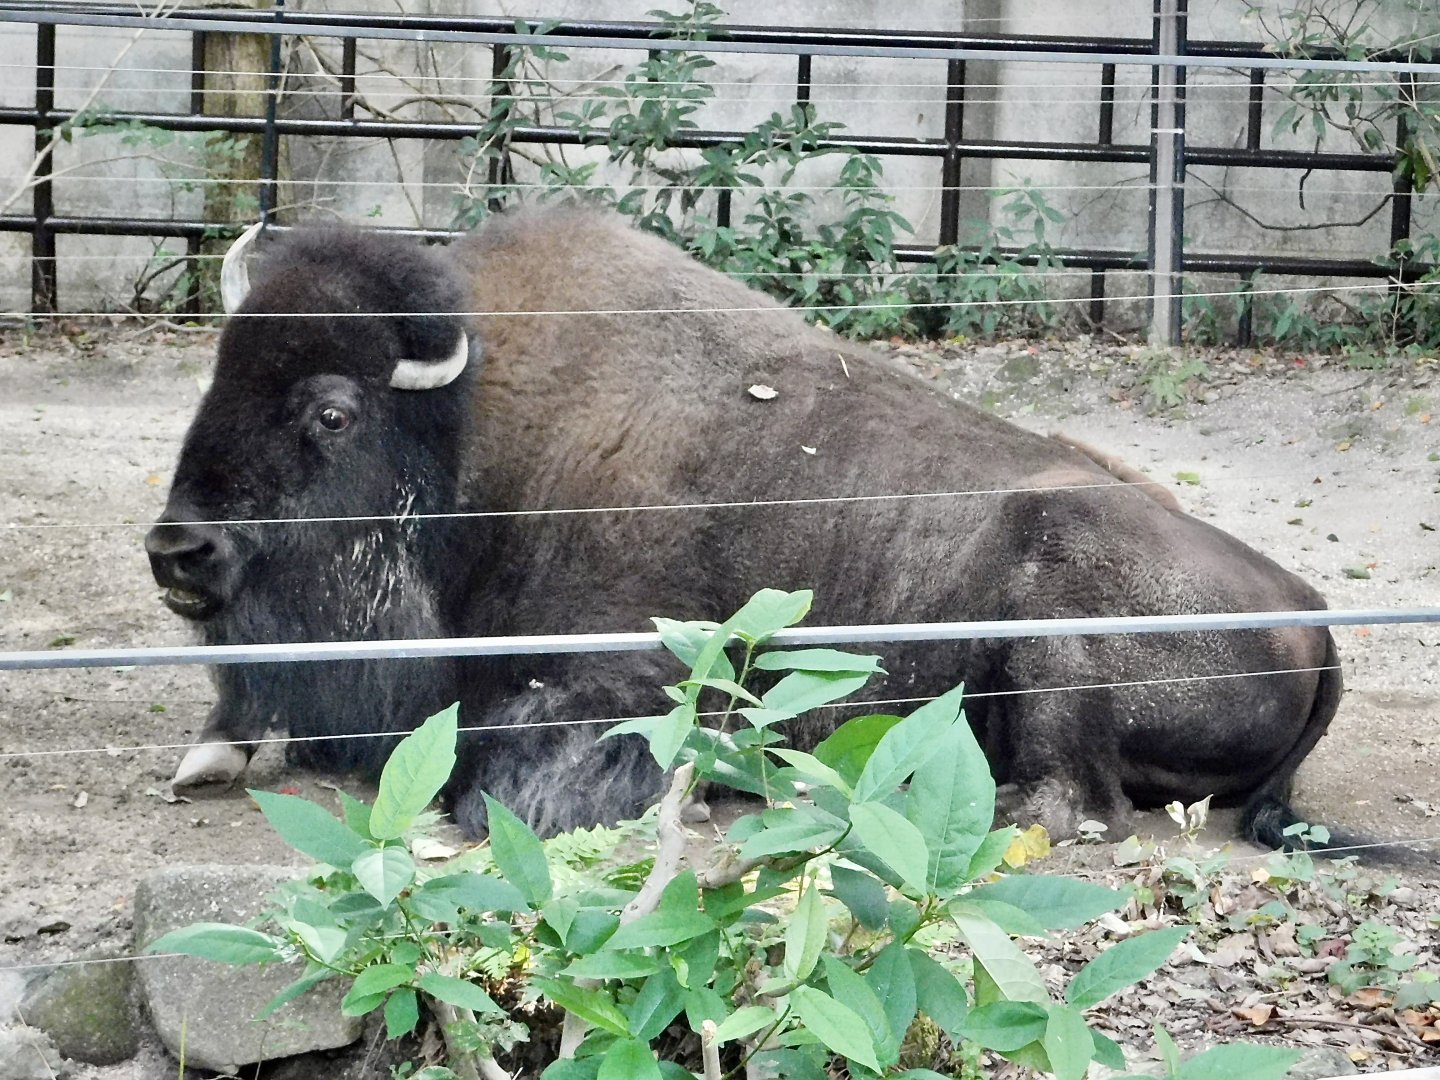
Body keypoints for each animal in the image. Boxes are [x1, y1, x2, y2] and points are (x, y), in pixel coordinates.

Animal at [146, 208, 1339, 845]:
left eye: (331, 412)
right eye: (215, 379)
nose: (178, 552)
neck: (472, 439)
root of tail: (1317, 618)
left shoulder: (622, 676)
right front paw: (211, 754)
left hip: (1060, 619)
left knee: (1064, 801)